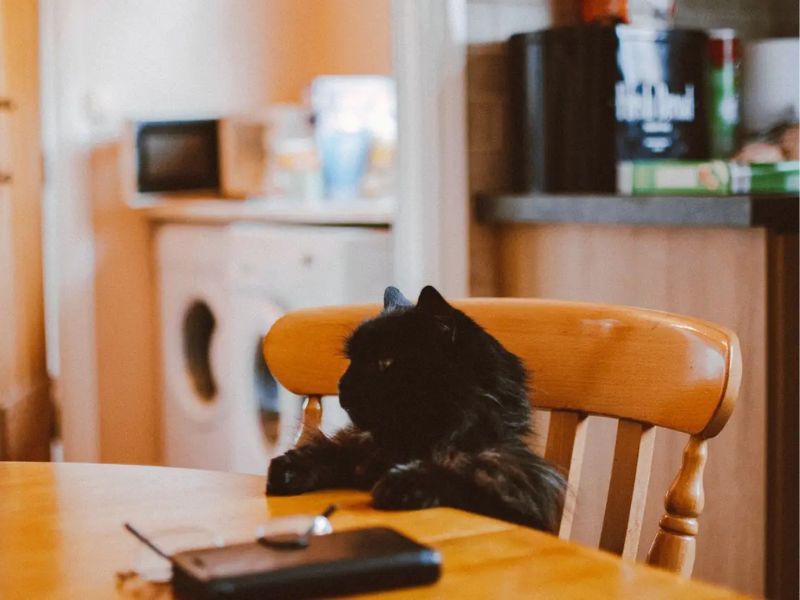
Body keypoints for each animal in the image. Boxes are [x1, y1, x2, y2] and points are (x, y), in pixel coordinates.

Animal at [266, 284, 564, 528]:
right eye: (352, 360)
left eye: (385, 361)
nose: (342, 385)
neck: (411, 443)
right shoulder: (358, 449)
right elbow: (329, 452)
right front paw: (287, 469)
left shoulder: (515, 490)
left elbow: (461, 475)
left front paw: (403, 482)